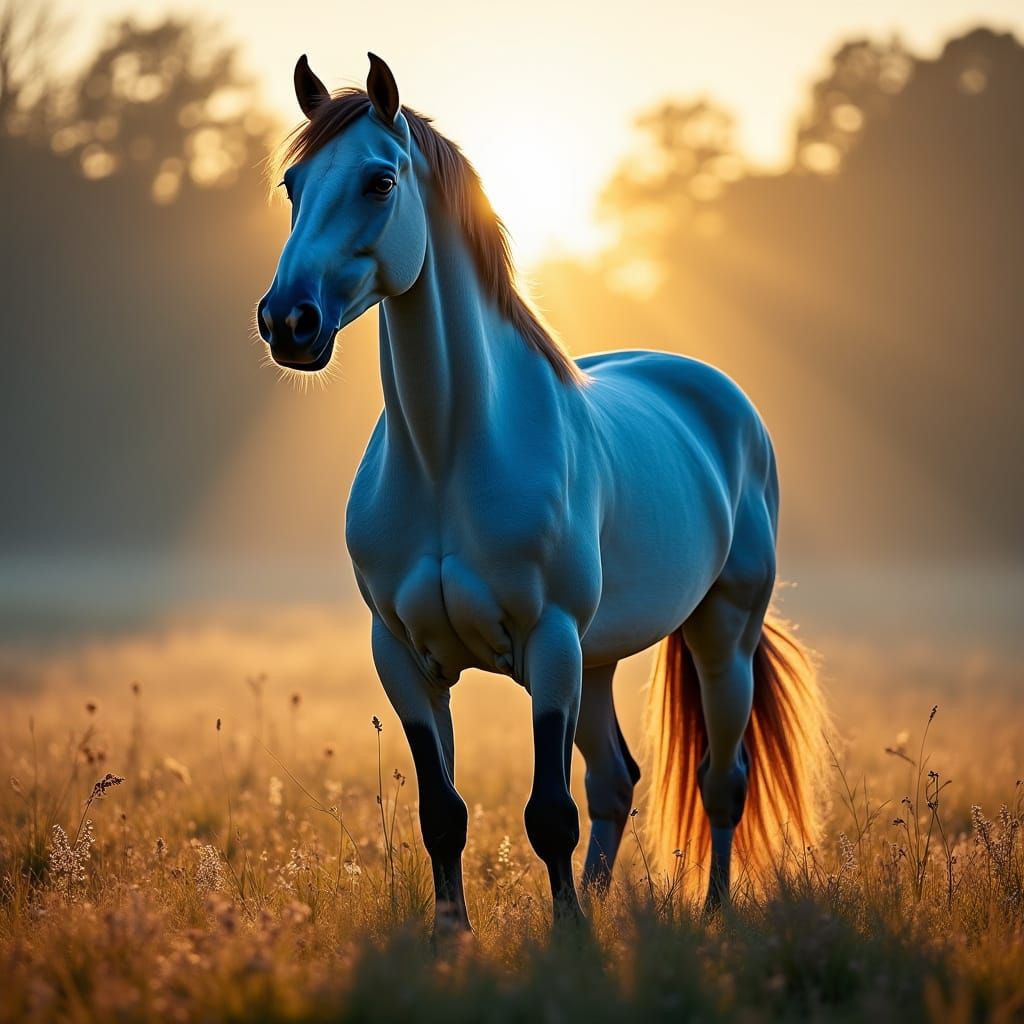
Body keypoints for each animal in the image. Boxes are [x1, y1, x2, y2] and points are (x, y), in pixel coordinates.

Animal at [257, 53, 827, 933]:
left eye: (380, 182)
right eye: (292, 183)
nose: (289, 322)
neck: (448, 457)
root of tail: (721, 399)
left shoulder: (550, 642)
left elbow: (548, 813)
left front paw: (567, 940)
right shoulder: (404, 659)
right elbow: (444, 812)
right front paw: (453, 934)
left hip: (719, 637)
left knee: (719, 782)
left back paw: (714, 915)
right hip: (598, 660)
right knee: (617, 781)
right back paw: (601, 899)